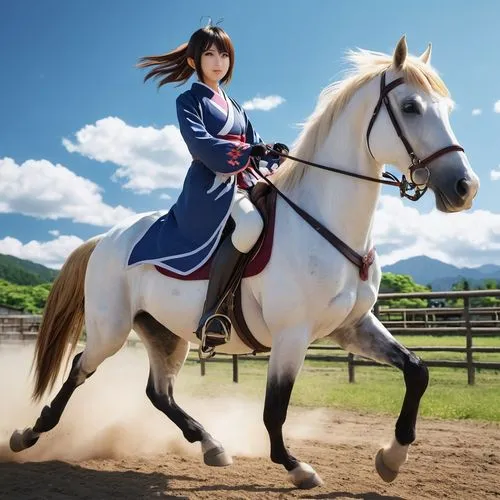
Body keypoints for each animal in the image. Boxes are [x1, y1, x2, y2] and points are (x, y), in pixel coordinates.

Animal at [11, 38, 478, 488]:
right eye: (411, 107)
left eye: (447, 109)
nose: (465, 187)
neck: (324, 224)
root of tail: (106, 238)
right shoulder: (292, 335)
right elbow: (275, 409)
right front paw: (296, 467)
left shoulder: (352, 326)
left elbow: (417, 371)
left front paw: (391, 458)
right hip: (110, 328)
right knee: (79, 369)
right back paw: (28, 434)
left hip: (165, 333)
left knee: (158, 392)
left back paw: (211, 444)